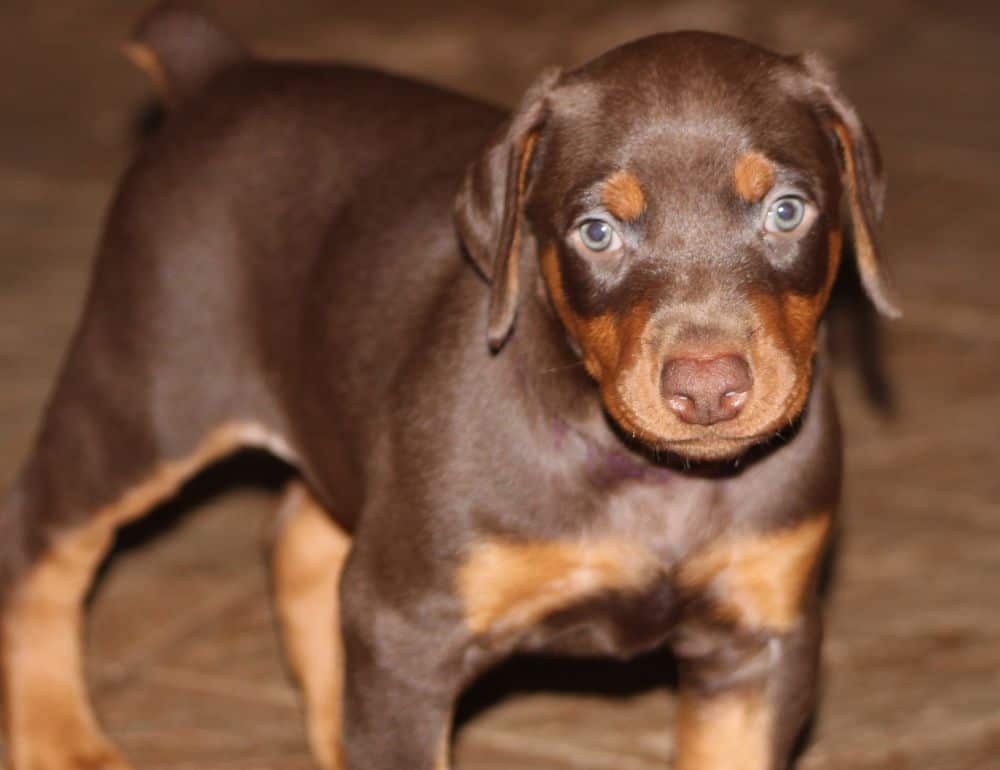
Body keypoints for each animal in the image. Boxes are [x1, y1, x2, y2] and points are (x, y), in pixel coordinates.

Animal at [0, 1, 904, 768]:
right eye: (596, 232)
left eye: (787, 211)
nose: (708, 390)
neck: (643, 478)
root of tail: (220, 75)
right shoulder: (406, 632)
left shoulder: (761, 640)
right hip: (148, 390)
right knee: (41, 538)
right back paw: (60, 738)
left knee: (297, 537)